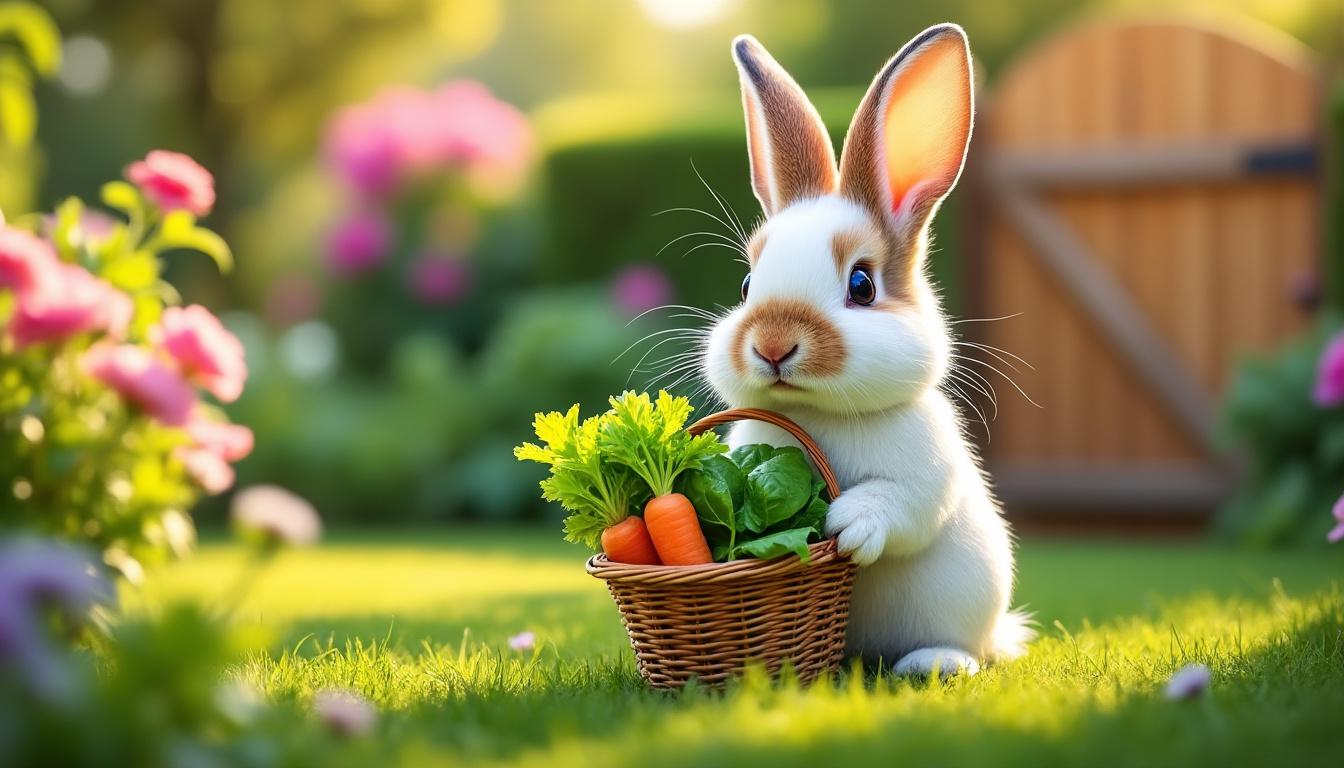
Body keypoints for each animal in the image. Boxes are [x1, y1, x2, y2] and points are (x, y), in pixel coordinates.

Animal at [702, 24, 1033, 676]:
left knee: (966, 649)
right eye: (747, 285)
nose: (772, 344)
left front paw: (848, 525)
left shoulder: (925, 475)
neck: (820, 413)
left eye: (862, 285)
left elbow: (900, 504)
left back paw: (933, 663)